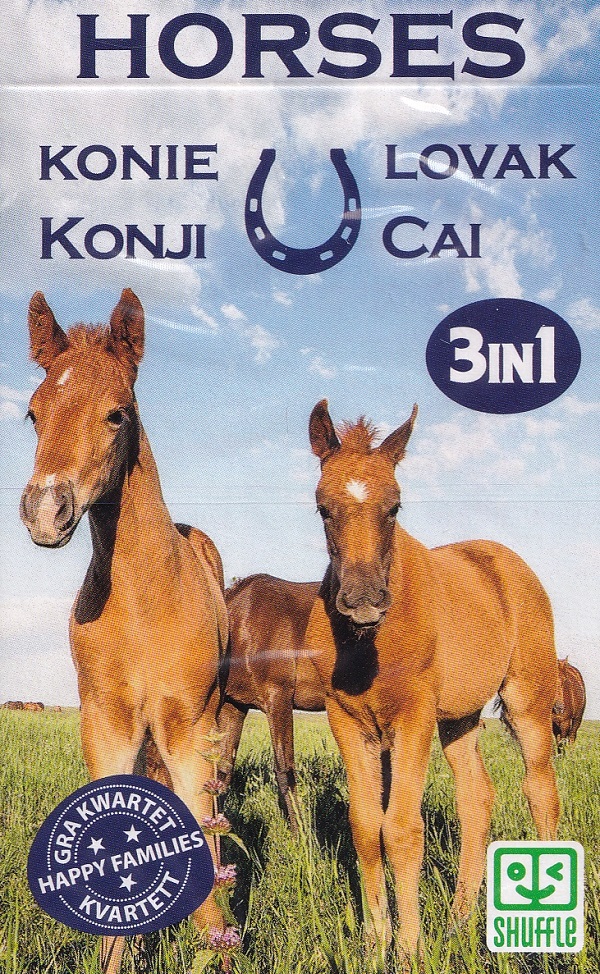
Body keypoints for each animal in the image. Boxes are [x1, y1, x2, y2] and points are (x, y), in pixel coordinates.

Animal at [20, 289, 228, 974]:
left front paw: (220, 948)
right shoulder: (106, 722)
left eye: (117, 414)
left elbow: (206, 844)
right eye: (33, 414)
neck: (143, 600)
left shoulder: (189, 725)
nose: (44, 510)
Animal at [305, 399, 560, 961]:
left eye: (395, 507)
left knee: (540, 791)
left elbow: (402, 829)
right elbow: (365, 826)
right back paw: (460, 920)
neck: (368, 647)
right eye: (323, 508)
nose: (363, 601)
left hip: (527, 700)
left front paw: (407, 949)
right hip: (460, 719)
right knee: (477, 800)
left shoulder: (413, 718)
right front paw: (375, 942)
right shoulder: (347, 721)